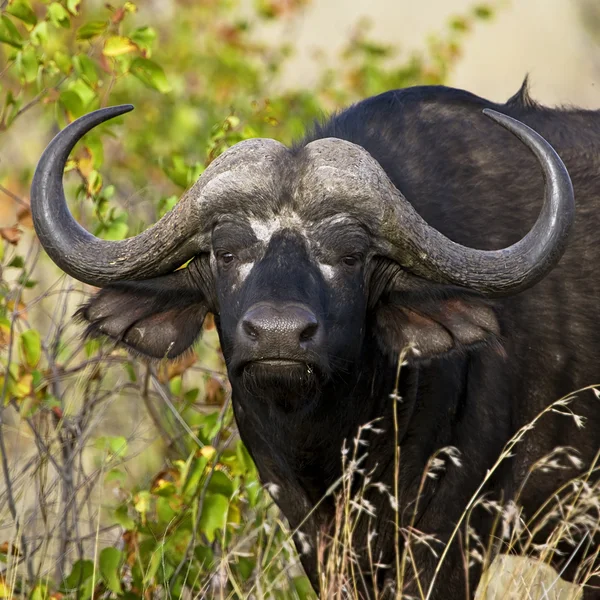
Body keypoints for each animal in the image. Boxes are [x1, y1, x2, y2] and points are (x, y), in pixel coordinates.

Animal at [30, 82, 596, 596]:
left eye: (350, 255)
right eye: (226, 252)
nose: (278, 334)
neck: (334, 443)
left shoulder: (444, 543)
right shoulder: (310, 532)